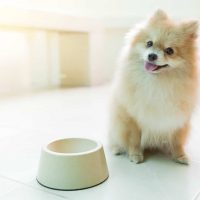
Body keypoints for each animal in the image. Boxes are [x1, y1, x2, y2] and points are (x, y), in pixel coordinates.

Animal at [109, 9, 198, 164]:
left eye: (169, 51)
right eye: (149, 43)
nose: (152, 55)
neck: (157, 82)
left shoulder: (177, 118)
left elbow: (177, 141)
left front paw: (180, 156)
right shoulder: (132, 117)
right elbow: (134, 139)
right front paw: (135, 155)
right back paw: (117, 149)